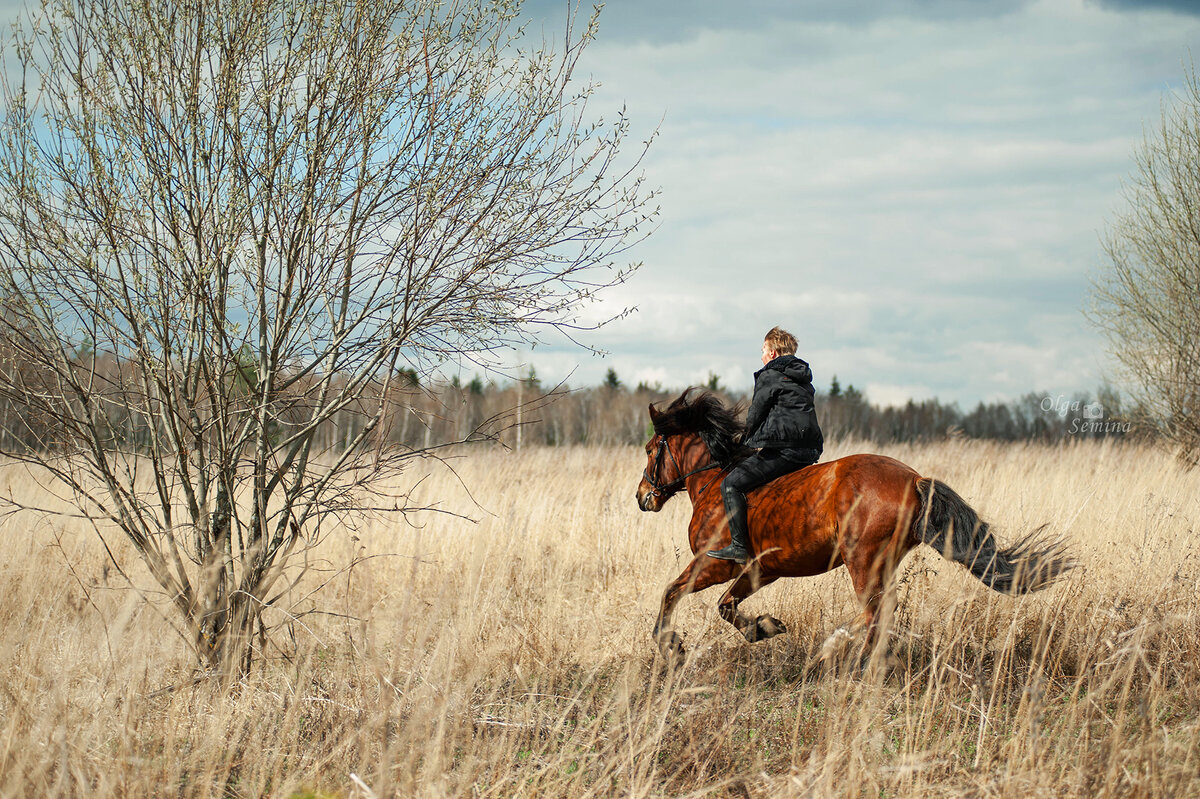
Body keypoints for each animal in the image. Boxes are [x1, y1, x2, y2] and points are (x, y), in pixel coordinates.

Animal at [638, 386, 1080, 657]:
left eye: (650, 449)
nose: (643, 497)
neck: (714, 479)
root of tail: (915, 479)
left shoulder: (714, 564)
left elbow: (671, 593)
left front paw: (671, 645)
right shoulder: (762, 569)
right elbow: (726, 606)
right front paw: (764, 627)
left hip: (862, 559)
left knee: (873, 614)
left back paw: (832, 647)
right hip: (881, 561)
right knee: (881, 615)